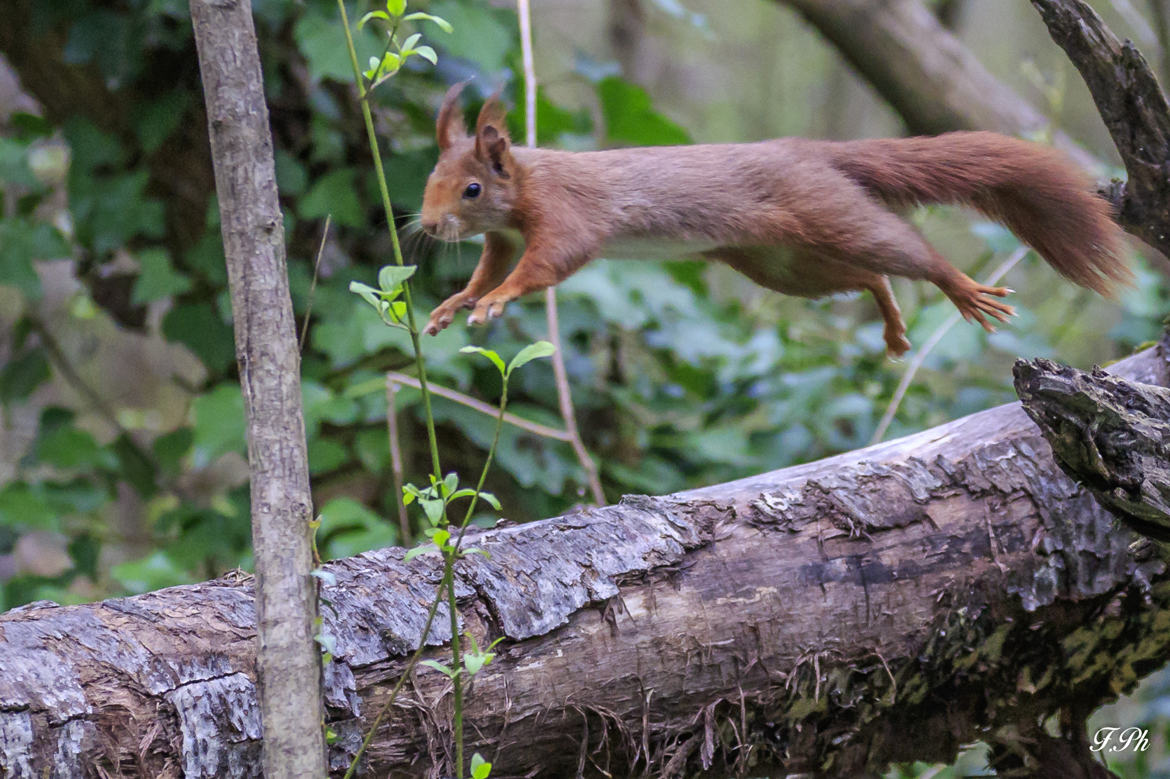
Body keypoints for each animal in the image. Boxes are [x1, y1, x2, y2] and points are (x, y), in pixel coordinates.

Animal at [418, 81, 1123, 355]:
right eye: (430, 180)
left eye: (472, 188)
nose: (425, 227)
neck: (527, 184)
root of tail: (809, 151)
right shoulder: (503, 239)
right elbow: (485, 271)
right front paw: (453, 305)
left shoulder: (566, 217)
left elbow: (546, 265)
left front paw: (496, 302)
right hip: (782, 264)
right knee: (867, 277)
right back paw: (894, 328)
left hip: (829, 215)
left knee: (902, 254)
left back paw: (963, 289)